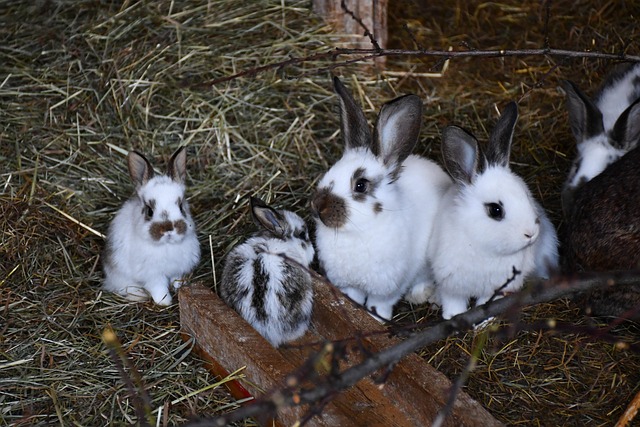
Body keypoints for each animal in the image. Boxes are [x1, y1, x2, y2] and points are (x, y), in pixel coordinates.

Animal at [102, 147, 201, 306]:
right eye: (149, 211)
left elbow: (176, 279)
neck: (167, 245)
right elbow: (158, 288)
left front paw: (180, 287)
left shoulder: (178, 268)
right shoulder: (152, 275)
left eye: (181, 207)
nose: (168, 229)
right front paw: (164, 302)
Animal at [310, 76, 452, 322]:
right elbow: (354, 299)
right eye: (329, 172)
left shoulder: (389, 286)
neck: (355, 232)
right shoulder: (350, 285)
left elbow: (380, 304)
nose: (319, 208)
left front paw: (376, 319)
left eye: (360, 185)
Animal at [428, 102, 559, 320]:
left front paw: (483, 321)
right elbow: (453, 302)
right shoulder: (450, 283)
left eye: (526, 195)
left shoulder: (497, 287)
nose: (531, 234)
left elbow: (485, 303)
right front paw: (452, 317)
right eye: (495, 210)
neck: (482, 246)